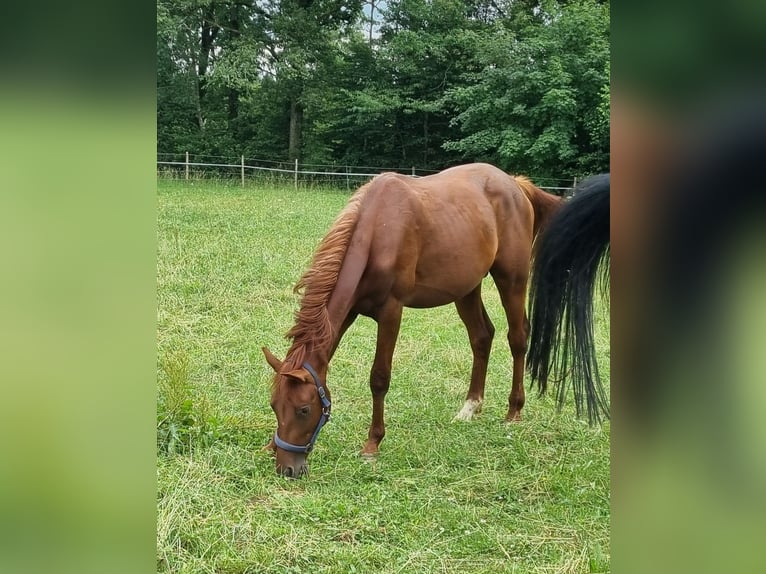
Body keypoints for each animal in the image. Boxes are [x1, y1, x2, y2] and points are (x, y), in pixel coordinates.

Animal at [264, 163, 564, 482]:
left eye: (304, 410)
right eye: (275, 405)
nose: (287, 468)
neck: (377, 232)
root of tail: (515, 185)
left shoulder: (391, 311)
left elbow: (379, 378)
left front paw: (372, 444)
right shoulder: (349, 312)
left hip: (512, 279)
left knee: (518, 337)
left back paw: (514, 411)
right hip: (466, 289)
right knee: (482, 337)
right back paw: (470, 408)